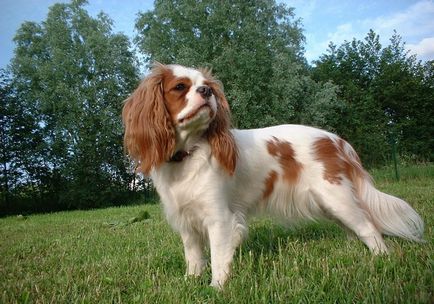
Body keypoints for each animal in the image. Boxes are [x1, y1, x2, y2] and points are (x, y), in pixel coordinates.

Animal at [122, 63, 424, 288]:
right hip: (330, 203)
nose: (206, 91)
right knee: (354, 229)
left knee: (369, 228)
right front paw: (191, 282)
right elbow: (193, 257)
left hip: (336, 196)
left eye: (205, 85)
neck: (187, 153)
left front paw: (216, 288)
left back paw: (382, 260)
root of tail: (338, 141)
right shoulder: (186, 221)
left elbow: (218, 258)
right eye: (180, 87)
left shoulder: (219, 219)